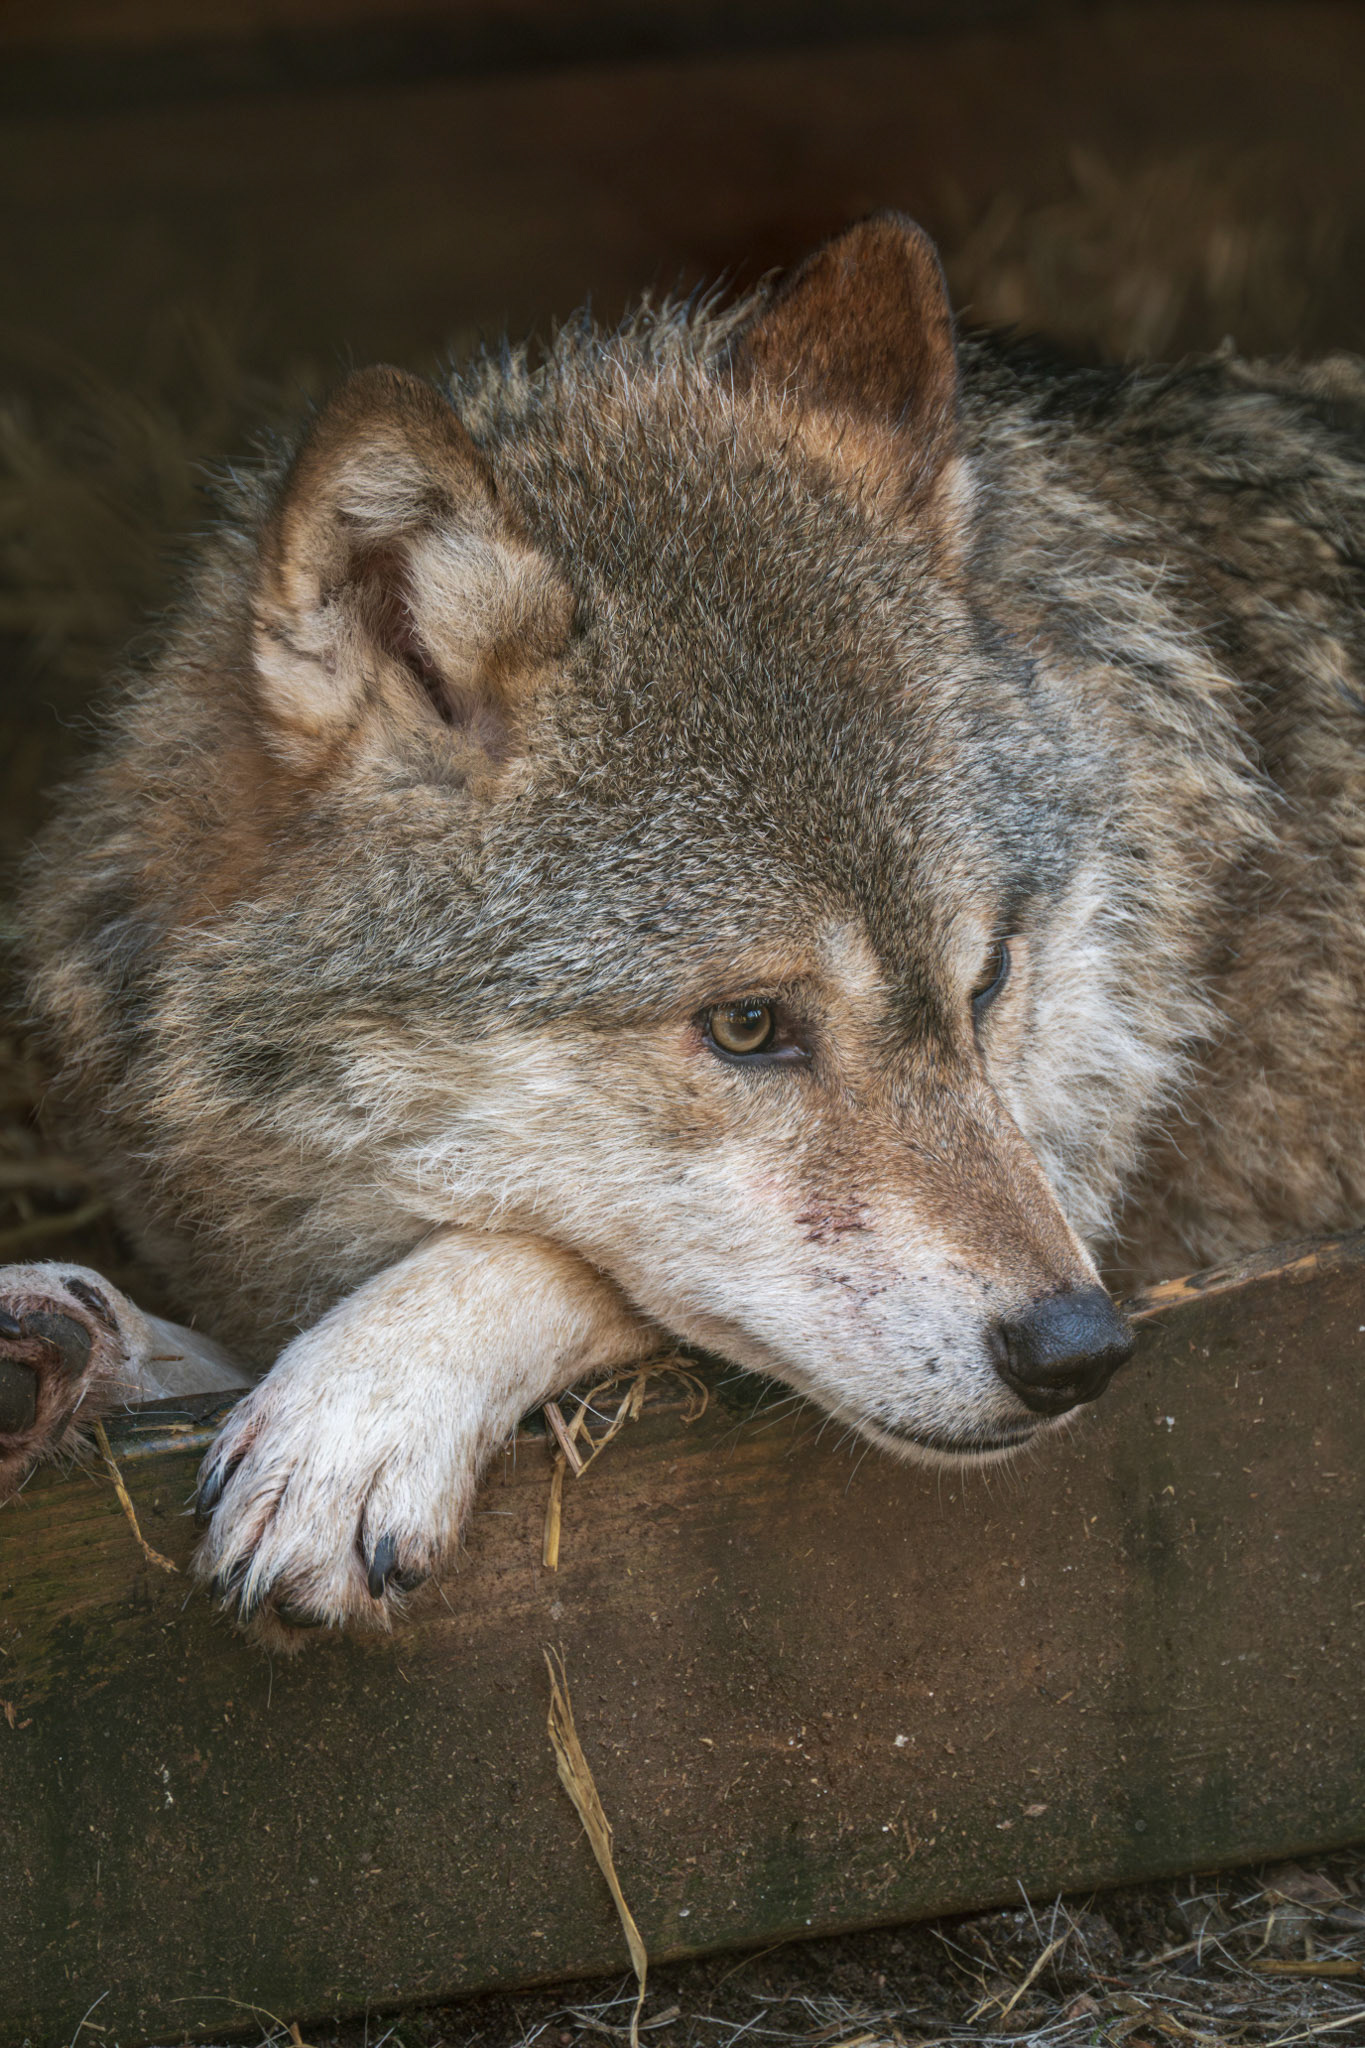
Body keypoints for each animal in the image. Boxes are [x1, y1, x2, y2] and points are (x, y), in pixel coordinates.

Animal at [2, 214, 1362, 1641]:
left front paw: (366, 1399)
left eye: (988, 978)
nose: (1079, 1351)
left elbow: (564, 1258)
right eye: (750, 1025)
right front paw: (84, 1343)